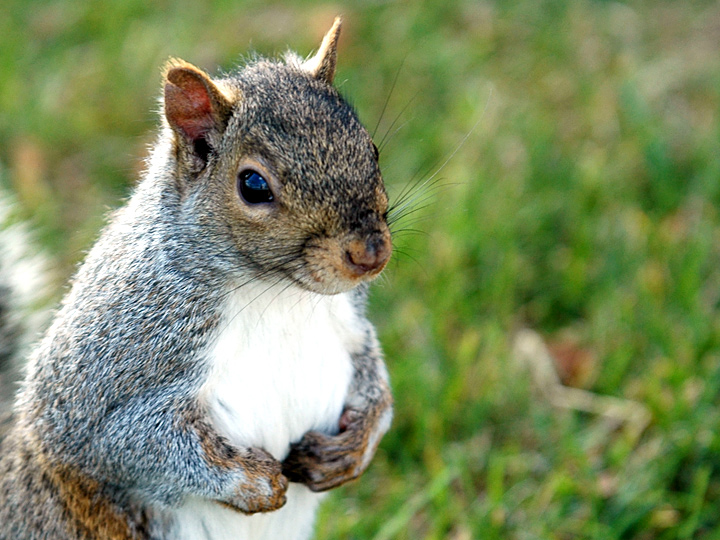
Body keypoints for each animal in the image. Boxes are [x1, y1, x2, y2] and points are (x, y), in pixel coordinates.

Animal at [0, 17, 393, 540]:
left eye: (371, 149)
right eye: (253, 185)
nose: (370, 253)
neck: (277, 292)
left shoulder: (350, 324)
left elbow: (376, 381)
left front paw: (355, 448)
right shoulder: (109, 364)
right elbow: (124, 443)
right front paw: (251, 483)